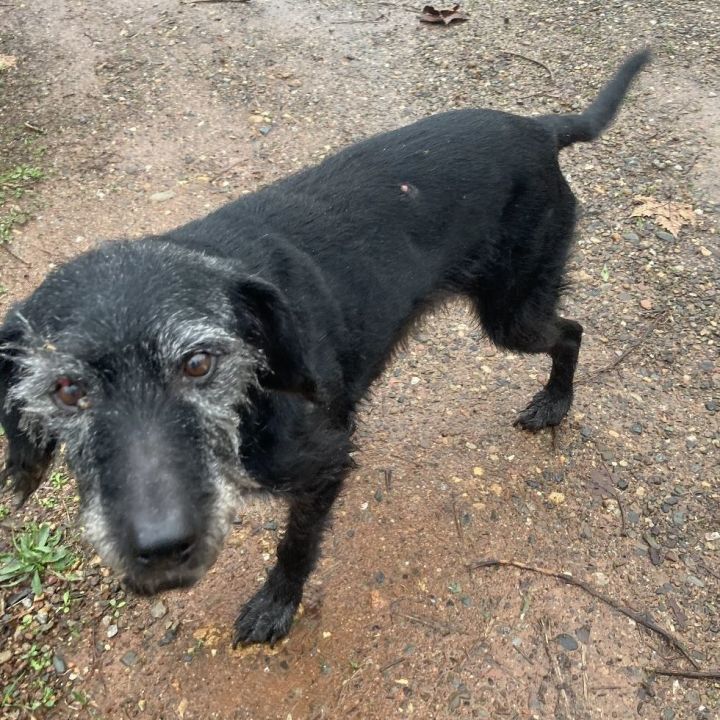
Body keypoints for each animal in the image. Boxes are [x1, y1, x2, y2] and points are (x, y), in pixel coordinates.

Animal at [0, 50, 648, 648]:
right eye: (67, 390)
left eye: (199, 363)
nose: (160, 548)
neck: (253, 392)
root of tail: (540, 128)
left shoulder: (325, 462)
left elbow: (295, 545)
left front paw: (276, 604)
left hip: (511, 314)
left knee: (572, 331)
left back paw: (555, 402)